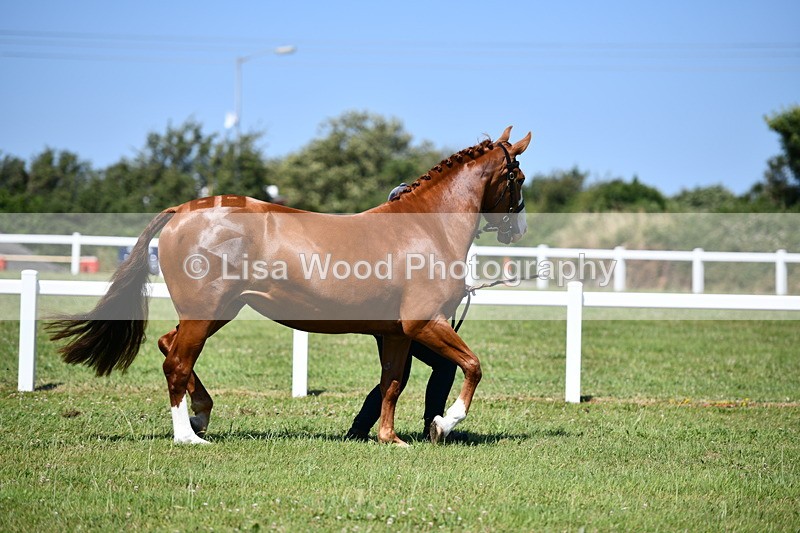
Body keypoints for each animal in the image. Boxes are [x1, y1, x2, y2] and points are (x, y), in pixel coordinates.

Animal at [48, 126, 532, 446]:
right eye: (519, 177)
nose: (519, 229)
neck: (424, 230)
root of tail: (183, 210)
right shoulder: (424, 323)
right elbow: (472, 366)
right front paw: (442, 423)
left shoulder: (395, 333)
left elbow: (392, 383)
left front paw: (389, 438)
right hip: (207, 313)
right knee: (177, 363)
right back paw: (189, 437)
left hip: (218, 312)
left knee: (169, 346)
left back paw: (202, 417)